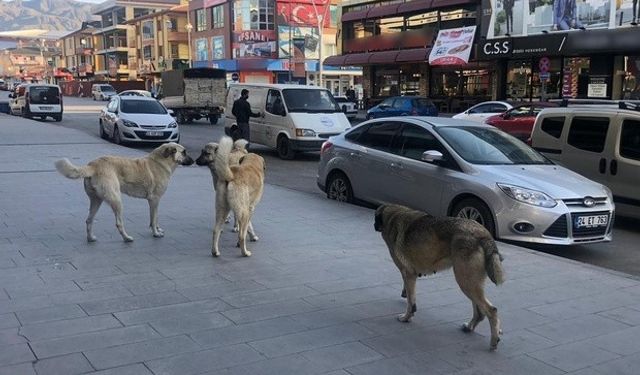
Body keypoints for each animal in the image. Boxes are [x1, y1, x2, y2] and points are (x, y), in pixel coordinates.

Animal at [376, 204, 504, 352]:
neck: (393, 216)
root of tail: (483, 234)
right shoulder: (410, 275)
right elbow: (410, 296)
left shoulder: (408, 274)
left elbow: (411, 302)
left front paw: (406, 317)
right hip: (471, 283)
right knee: (480, 311)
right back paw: (469, 327)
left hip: (465, 281)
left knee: (491, 310)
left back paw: (493, 341)